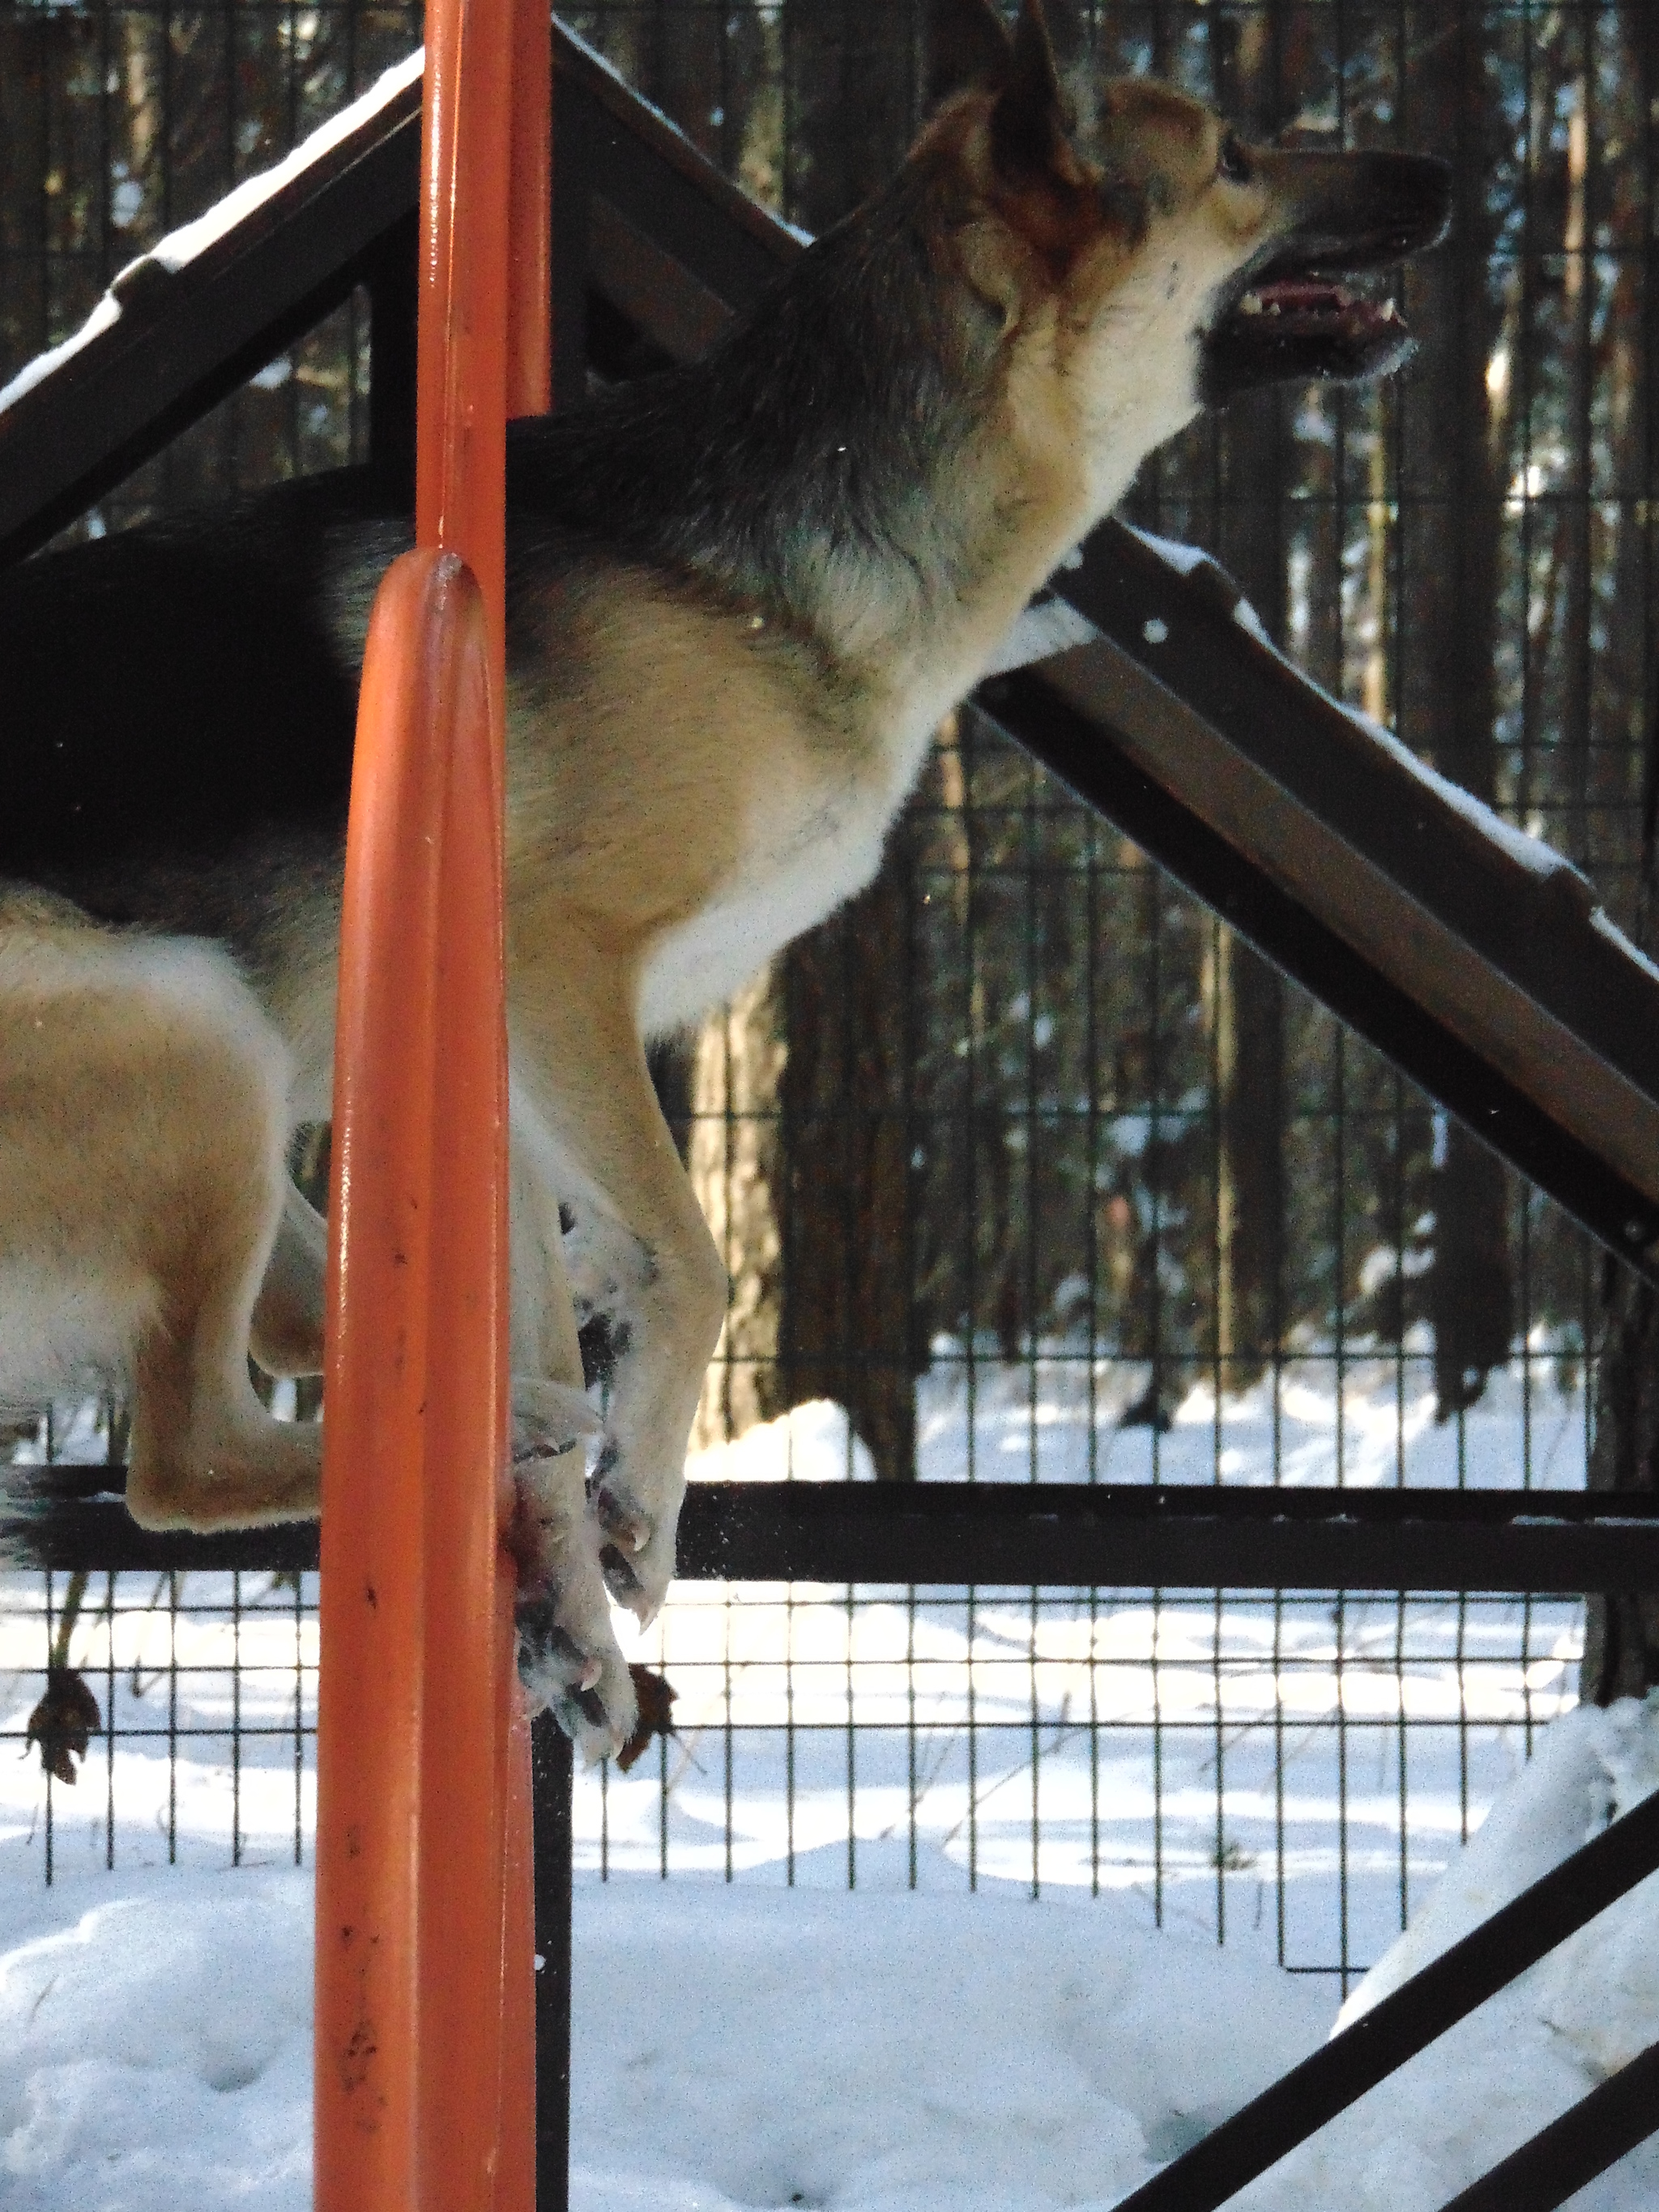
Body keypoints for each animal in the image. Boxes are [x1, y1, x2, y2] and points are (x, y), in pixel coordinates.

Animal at [0, 4, 1451, 1761]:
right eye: (1235, 155)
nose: (1447, 179)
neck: (763, 551)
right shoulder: (551, 968)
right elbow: (692, 1263)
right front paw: (632, 1492)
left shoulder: (513, 1066)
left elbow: (603, 1269)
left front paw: (570, 1588)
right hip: (186, 1018)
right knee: (183, 1457)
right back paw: (522, 1424)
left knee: (304, 1334)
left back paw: (511, 1449)